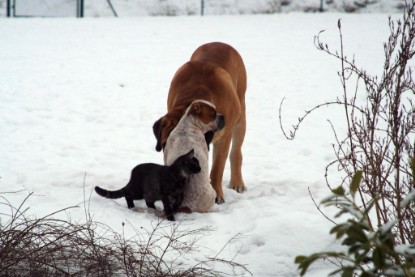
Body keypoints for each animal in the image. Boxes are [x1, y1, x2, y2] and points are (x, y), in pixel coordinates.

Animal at [154, 41, 249, 203]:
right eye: (165, 143)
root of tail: (220, 43)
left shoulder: (224, 138)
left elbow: (217, 169)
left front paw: (217, 193)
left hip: (240, 117)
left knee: (236, 152)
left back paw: (237, 182)